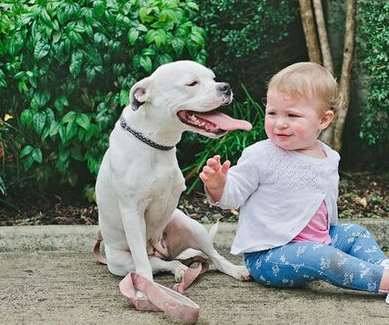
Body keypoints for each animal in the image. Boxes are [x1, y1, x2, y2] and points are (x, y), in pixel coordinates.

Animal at [95, 60, 250, 284]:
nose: (225, 86)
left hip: (192, 227)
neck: (155, 143)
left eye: (213, 78)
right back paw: (177, 270)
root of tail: (163, 251)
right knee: (158, 263)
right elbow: (142, 259)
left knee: (213, 257)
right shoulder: (132, 211)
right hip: (120, 262)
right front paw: (145, 286)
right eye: (192, 83)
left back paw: (233, 269)